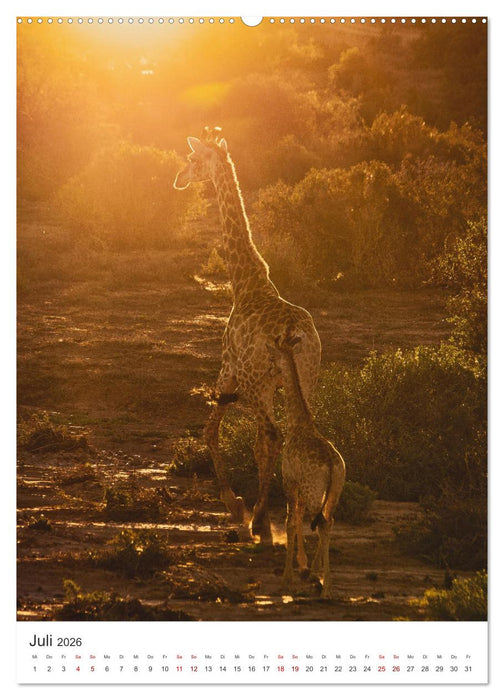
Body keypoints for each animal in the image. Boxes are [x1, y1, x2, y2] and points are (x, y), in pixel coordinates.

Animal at [174, 127, 321, 544]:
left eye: (192, 159)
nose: (179, 179)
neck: (245, 282)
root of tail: (293, 333)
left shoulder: (229, 371)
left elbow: (210, 431)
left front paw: (235, 504)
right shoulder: (266, 383)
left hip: (256, 383)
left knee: (271, 435)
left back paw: (259, 520)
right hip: (305, 379)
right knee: (294, 435)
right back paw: (292, 516)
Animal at [271, 327, 345, 598]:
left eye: (274, 357)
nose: (271, 372)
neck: (297, 422)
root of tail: (332, 465)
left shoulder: (289, 480)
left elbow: (290, 522)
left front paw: (287, 578)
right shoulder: (300, 486)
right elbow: (299, 519)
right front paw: (304, 569)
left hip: (315, 490)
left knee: (321, 522)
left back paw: (326, 587)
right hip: (334, 491)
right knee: (328, 521)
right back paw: (318, 576)